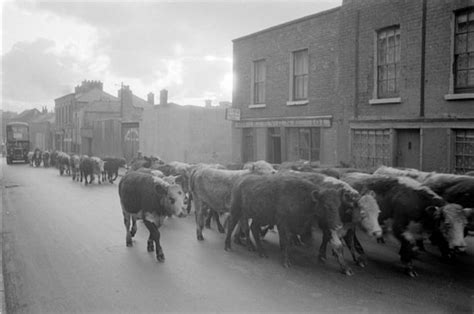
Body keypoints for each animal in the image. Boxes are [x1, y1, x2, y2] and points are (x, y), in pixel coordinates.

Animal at [226, 174, 356, 274]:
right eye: (326, 205)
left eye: (338, 205)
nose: (338, 225)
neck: (306, 199)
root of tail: (239, 180)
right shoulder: (283, 225)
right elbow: (285, 242)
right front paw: (286, 262)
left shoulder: (304, 228)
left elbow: (309, 242)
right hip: (236, 210)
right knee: (232, 225)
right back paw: (228, 247)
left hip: (259, 217)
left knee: (252, 228)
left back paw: (261, 252)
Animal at [340, 172, 470, 278]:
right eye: (447, 223)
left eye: (465, 224)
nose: (460, 246)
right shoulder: (398, 227)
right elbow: (409, 245)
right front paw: (409, 267)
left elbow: (408, 245)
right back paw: (359, 253)